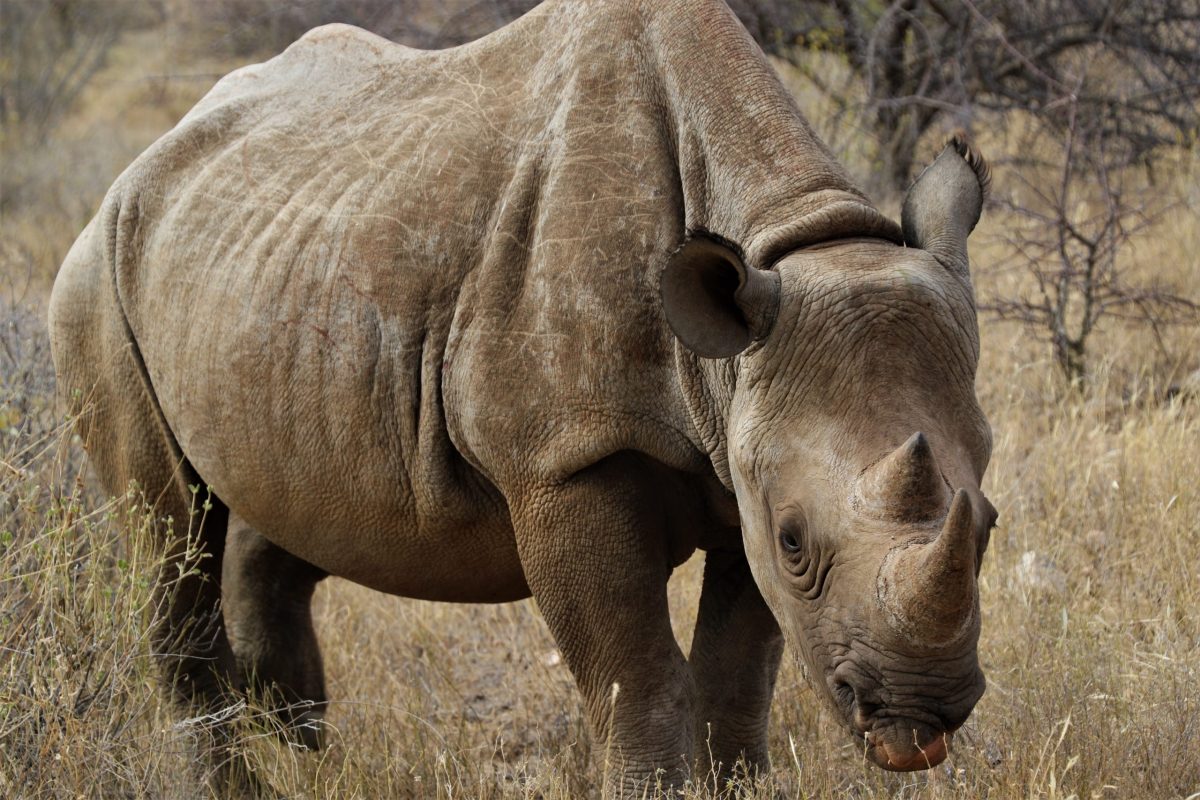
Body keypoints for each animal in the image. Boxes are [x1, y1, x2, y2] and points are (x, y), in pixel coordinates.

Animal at [49, 0, 997, 794]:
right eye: (797, 539)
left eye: (988, 523)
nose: (921, 718)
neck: (791, 239)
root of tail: (140, 164)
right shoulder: (565, 460)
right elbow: (641, 684)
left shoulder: (741, 457)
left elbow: (736, 684)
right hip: (93, 277)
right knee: (169, 533)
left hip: (267, 267)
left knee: (280, 517)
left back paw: (305, 752)